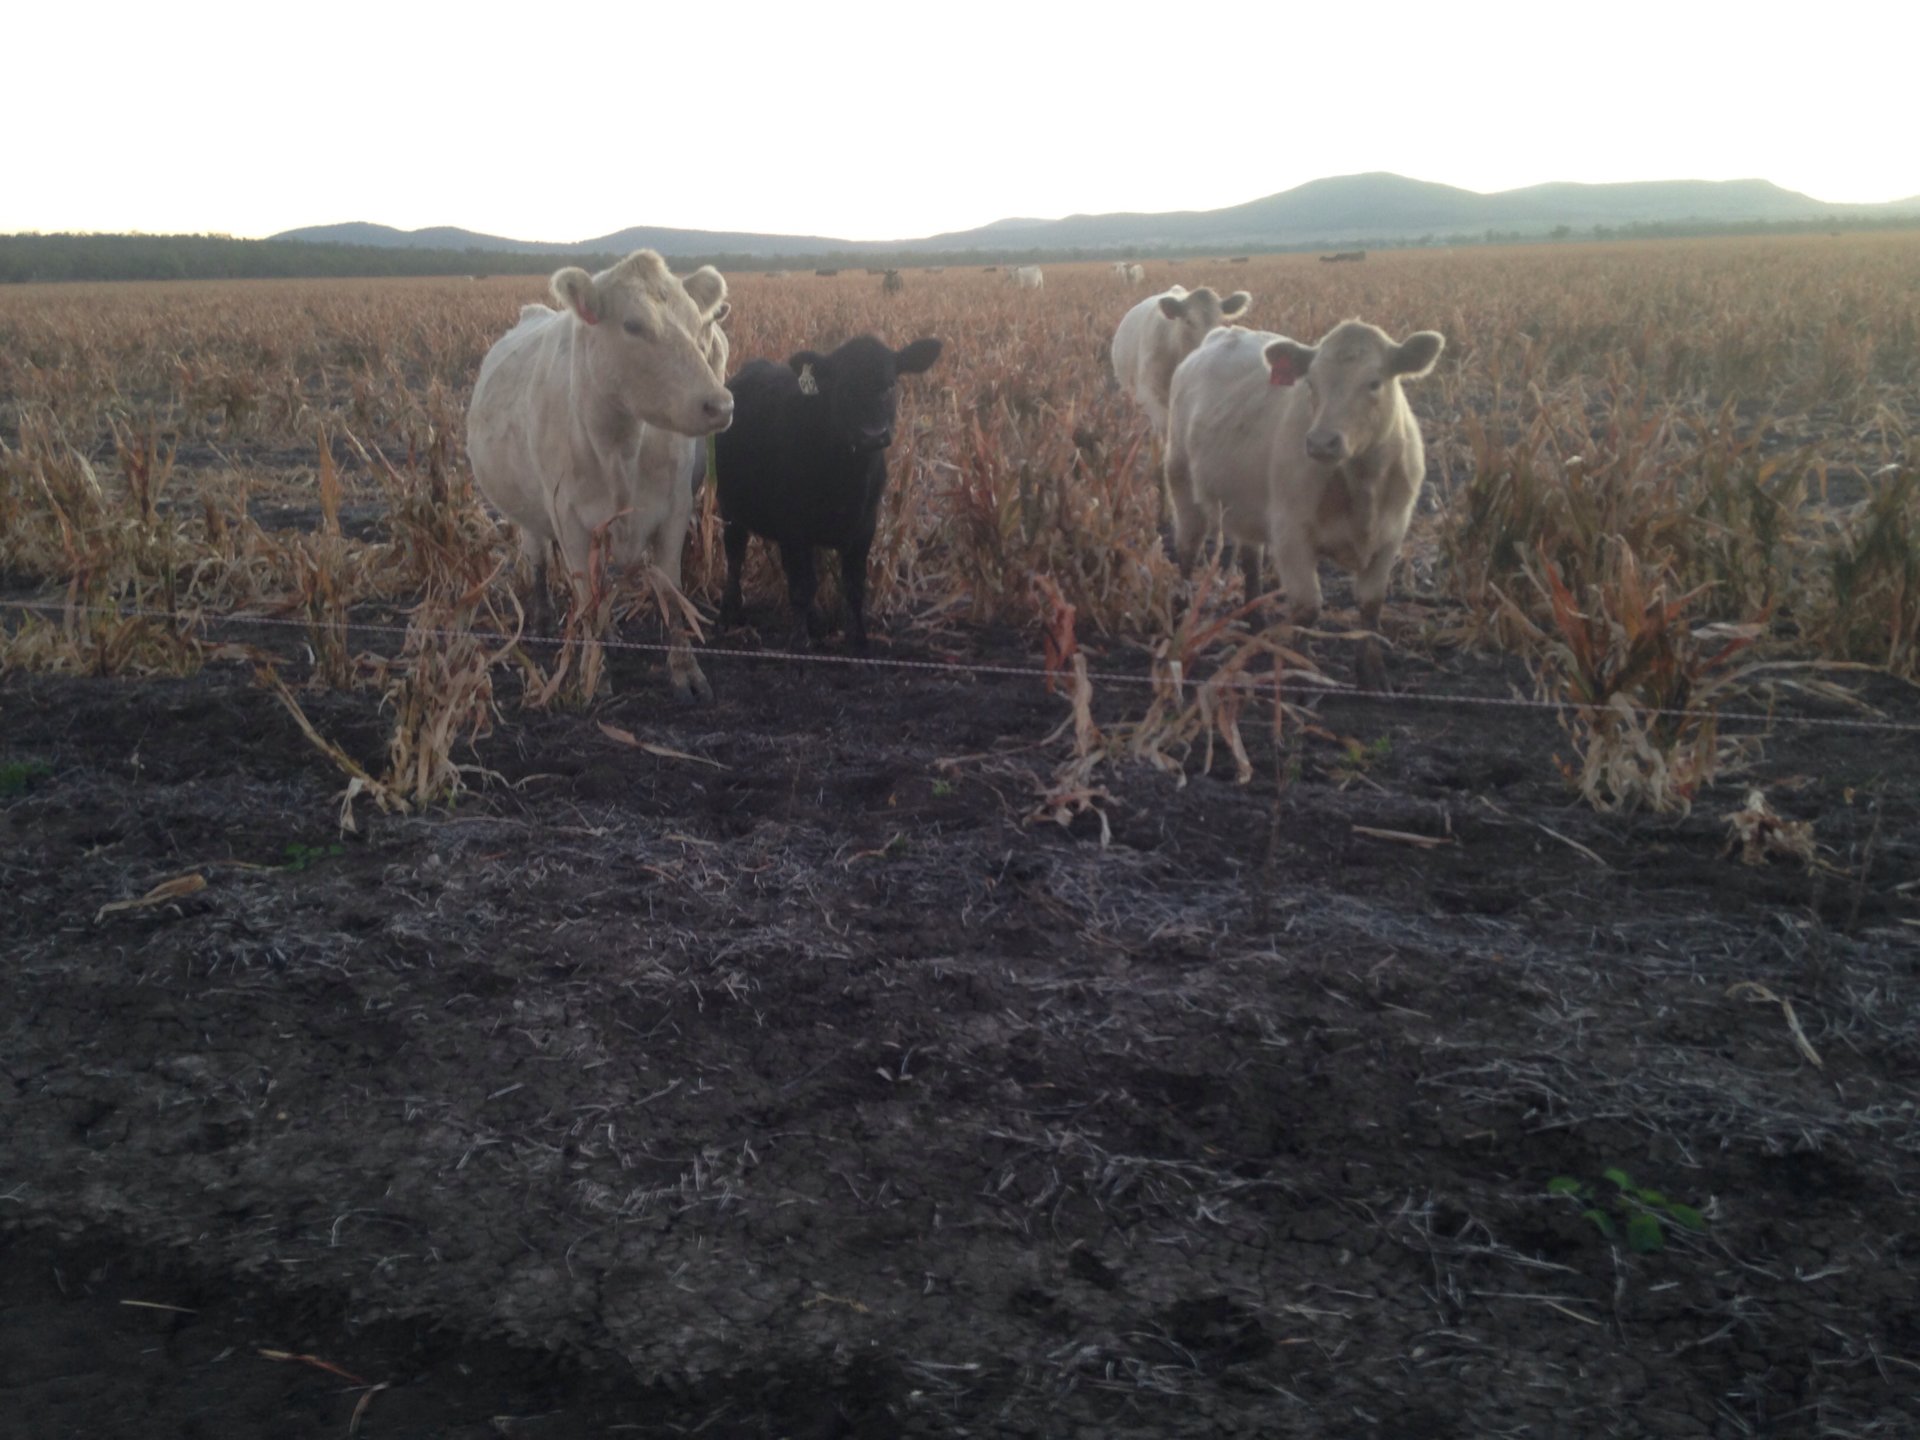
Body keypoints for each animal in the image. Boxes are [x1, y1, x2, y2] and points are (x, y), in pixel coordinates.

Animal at [466, 250, 734, 703]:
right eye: (633, 325)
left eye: (698, 323)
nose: (720, 404)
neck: (620, 447)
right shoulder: (569, 521)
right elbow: (586, 600)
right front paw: (595, 672)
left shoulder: (675, 510)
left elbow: (671, 592)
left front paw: (684, 670)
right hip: (529, 515)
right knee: (538, 560)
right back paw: (543, 618)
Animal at [714, 335, 944, 652]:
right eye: (844, 387)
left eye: (889, 385)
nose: (873, 435)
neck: (847, 478)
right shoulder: (794, 527)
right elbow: (802, 586)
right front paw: (800, 640)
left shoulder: (864, 528)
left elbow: (853, 586)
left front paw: (859, 640)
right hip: (731, 510)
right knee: (735, 557)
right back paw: (730, 612)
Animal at [1164, 319, 1445, 690]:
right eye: (1311, 382)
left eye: (1374, 382)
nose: (1322, 442)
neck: (1362, 485)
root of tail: (1226, 332)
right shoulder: (1291, 535)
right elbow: (1307, 607)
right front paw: (1303, 673)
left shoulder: (1391, 536)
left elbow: (1371, 605)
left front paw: (1373, 673)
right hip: (1182, 485)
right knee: (1186, 553)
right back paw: (1181, 619)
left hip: (1247, 508)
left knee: (1251, 559)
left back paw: (1256, 623)